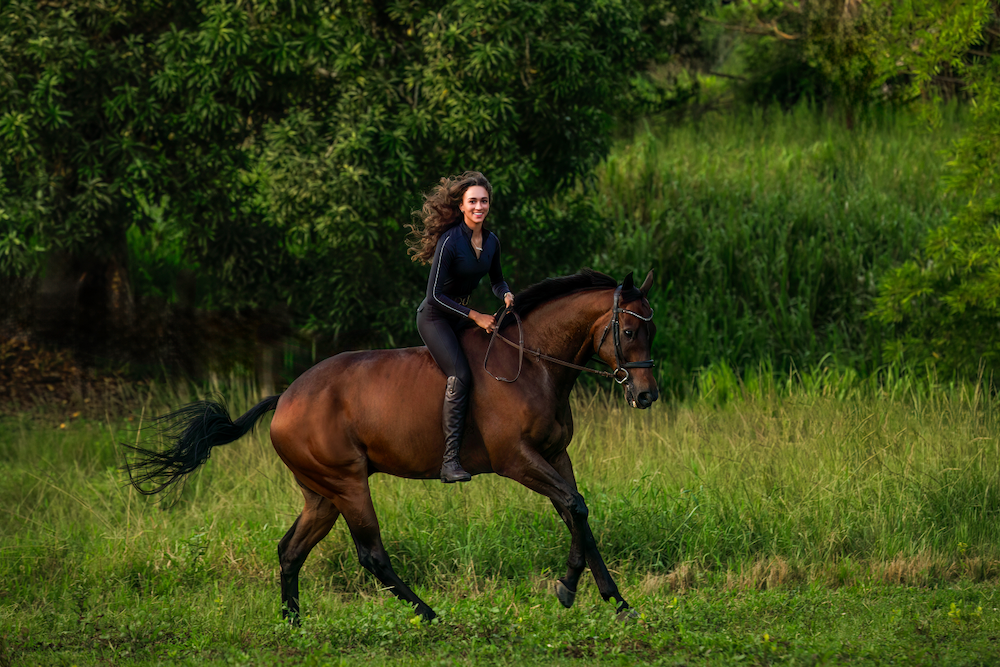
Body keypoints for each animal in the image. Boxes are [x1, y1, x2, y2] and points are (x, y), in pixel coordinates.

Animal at [125, 268, 658, 622]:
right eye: (630, 329)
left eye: (651, 329)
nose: (646, 395)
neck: (531, 364)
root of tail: (285, 400)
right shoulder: (518, 461)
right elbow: (575, 506)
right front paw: (569, 589)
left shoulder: (554, 456)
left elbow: (576, 512)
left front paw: (615, 600)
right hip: (348, 484)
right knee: (371, 555)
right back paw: (430, 615)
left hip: (322, 495)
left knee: (290, 550)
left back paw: (293, 623)